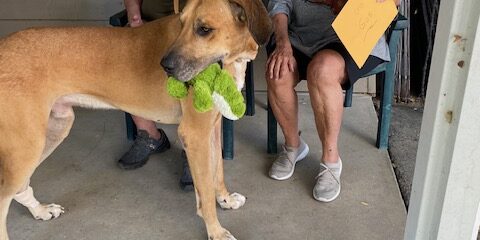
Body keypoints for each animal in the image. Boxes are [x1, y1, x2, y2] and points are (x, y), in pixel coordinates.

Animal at [0, 0, 272, 239]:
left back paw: (40, 211)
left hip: (53, 130)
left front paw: (225, 199)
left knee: (18, 187)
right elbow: (204, 192)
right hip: (27, 145)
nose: (165, 67)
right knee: (4, 196)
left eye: (204, 29)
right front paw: (216, 231)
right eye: (181, 23)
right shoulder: (195, 134)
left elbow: (217, 171)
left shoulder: (212, 128)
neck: (232, 58)